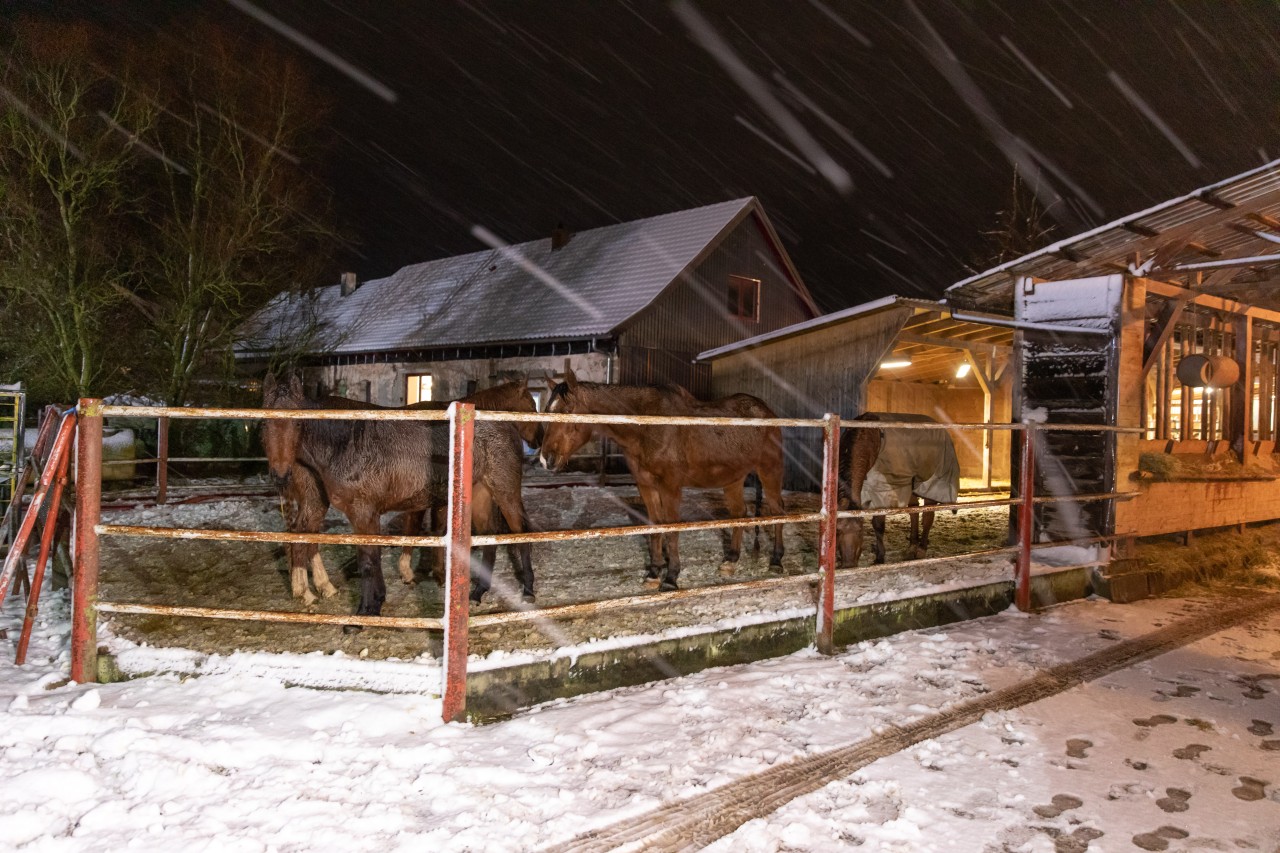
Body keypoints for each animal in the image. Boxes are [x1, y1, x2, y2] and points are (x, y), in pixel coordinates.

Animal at [262, 371, 532, 625]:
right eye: (264, 423)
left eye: (298, 424)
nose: (280, 475)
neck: (346, 443)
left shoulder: (367, 514)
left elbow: (370, 562)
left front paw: (365, 612)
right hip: (480, 494)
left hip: (504, 490)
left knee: (520, 530)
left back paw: (528, 590)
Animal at [537, 368, 783, 589]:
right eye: (548, 411)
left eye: (569, 410)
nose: (546, 459)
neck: (648, 427)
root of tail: (766, 411)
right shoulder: (646, 485)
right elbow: (655, 525)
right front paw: (654, 573)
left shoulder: (671, 487)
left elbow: (671, 528)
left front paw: (671, 577)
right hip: (733, 478)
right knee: (739, 514)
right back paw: (730, 561)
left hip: (769, 471)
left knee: (777, 511)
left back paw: (776, 561)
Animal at [829, 409, 962, 563]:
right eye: (837, 531)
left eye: (860, 531)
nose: (849, 564)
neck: (870, 437)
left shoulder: (882, 490)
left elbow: (878, 524)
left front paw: (880, 557)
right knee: (914, 512)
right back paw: (912, 547)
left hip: (931, 482)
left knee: (928, 516)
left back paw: (921, 549)